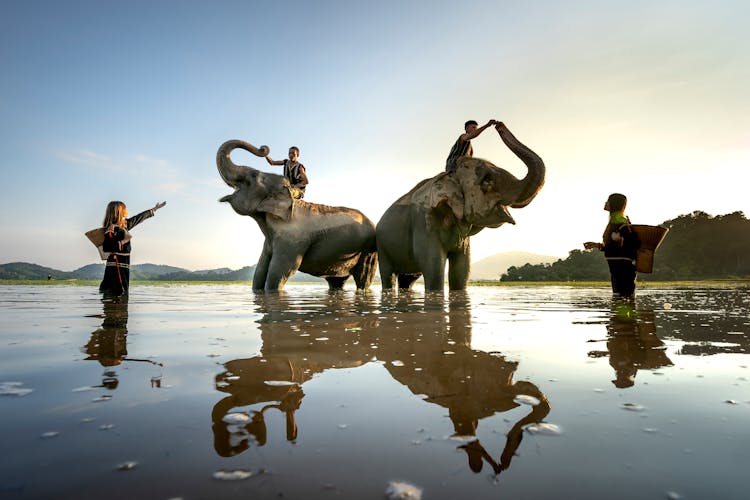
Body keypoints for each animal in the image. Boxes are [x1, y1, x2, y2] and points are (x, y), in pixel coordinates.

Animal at [219, 139, 382, 292]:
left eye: (253, 175)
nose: (263, 148)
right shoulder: (270, 241)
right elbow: (259, 272)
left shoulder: (292, 240)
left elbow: (281, 272)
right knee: (336, 281)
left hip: (368, 250)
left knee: (363, 279)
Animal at [376, 122, 548, 292]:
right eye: (487, 181)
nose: (499, 124)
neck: (450, 176)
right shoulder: (423, 222)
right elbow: (433, 266)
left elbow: (462, 268)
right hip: (382, 247)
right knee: (388, 275)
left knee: (408, 278)